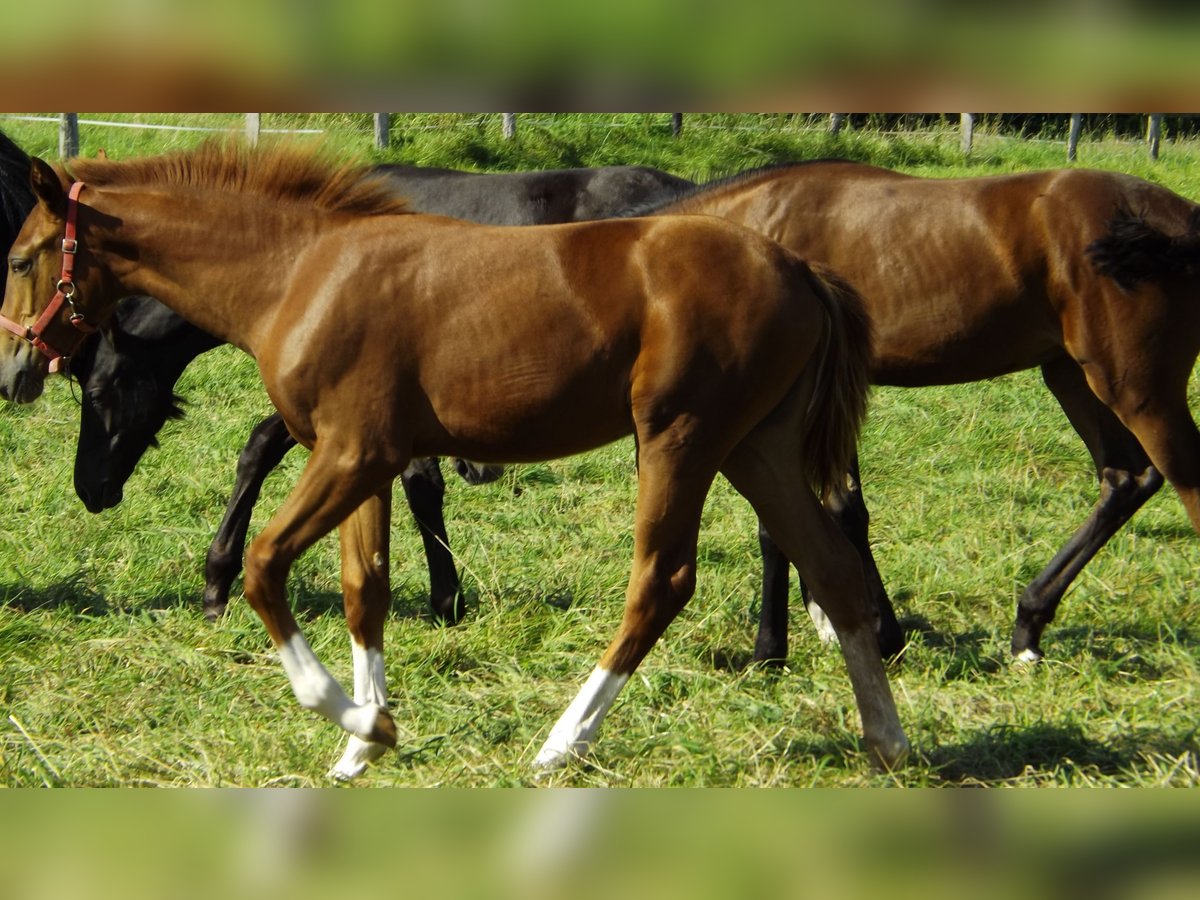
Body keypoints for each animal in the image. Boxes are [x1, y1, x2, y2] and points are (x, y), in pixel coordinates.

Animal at [68, 158, 696, 619]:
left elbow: (418, 486)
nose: (89, 490)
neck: (298, 258)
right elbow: (262, 447)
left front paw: (447, 598)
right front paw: (217, 579)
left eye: (96, 394)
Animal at [628, 160, 1200, 662]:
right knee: (1125, 479)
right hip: (1073, 377)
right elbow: (836, 513)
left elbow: (800, 523)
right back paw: (1028, 626)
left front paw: (776, 649)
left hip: (1138, 389)